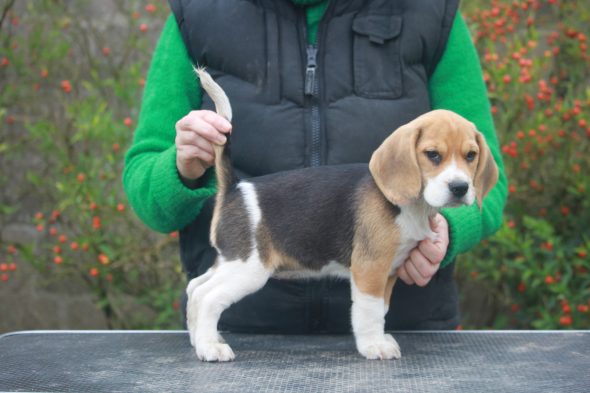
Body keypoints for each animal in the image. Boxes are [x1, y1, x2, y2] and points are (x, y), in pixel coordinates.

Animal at [188, 67, 500, 362]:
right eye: (433, 155)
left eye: (470, 156)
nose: (460, 188)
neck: (412, 206)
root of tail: (234, 188)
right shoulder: (370, 267)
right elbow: (369, 312)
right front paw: (373, 345)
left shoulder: (389, 270)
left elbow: (381, 309)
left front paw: (380, 339)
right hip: (249, 267)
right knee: (207, 297)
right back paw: (210, 347)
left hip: (230, 262)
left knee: (195, 288)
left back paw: (199, 339)